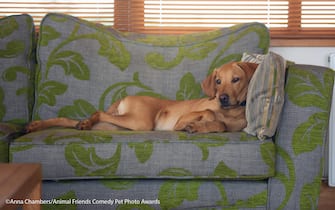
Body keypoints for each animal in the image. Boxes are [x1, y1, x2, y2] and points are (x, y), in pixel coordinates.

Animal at [26, 61, 258, 133]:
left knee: (72, 120)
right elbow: (210, 112)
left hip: (115, 126)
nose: (222, 98)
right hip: (140, 122)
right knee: (97, 112)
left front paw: (203, 126)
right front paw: (201, 122)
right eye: (218, 81)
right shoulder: (183, 118)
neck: (229, 112)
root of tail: (124, 99)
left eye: (236, 79)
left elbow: (222, 125)